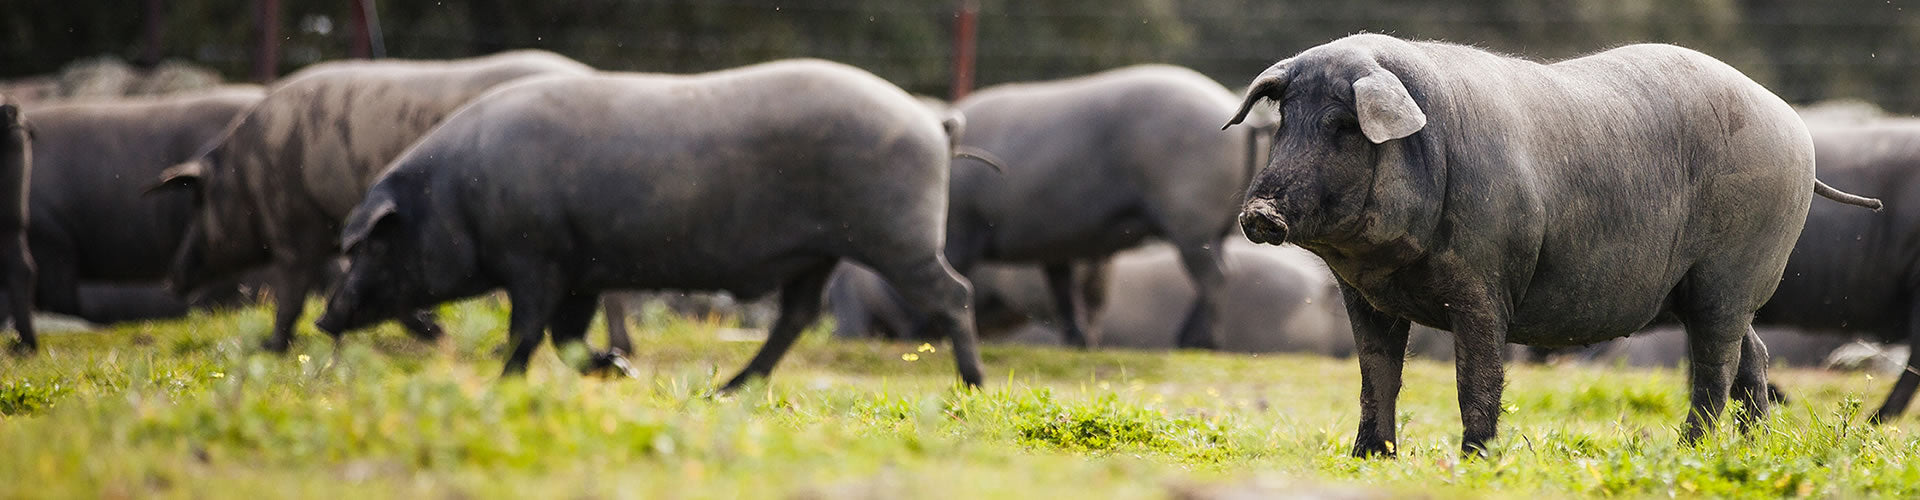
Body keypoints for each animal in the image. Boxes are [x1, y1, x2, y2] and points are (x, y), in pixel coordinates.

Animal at [151, 49, 591, 351]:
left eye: (198, 201)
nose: (171, 280)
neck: (244, 174)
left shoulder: (293, 225)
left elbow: (292, 291)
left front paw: (270, 347)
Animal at [311, 60, 990, 390]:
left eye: (371, 247)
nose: (324, 318)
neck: (455, 196)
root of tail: (935, 122)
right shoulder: (579, 270)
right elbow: (565, 336)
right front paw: (619, 367)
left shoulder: (535, 256)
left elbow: (526, 329)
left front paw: (504, 383)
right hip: (820, 253)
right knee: (795, 317)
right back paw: (729, 390)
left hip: (897, 236)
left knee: (955, 294)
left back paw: (973, 386)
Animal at [940, 64, 1259, 350]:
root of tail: (1244, 120)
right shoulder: (1056, 246)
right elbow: (1063, 291)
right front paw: (1079, 342)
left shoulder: (959, 228)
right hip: (1215, 228)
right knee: (1221, 271)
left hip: (1190, 222)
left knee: (1213, 275)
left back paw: (1196, 342)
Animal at [1221, 33, 1881, 457]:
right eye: (1286, 122)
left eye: (1341, 126)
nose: (1258, 213)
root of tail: (1794, 126)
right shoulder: (1365, 296)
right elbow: (1375, 375)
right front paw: (1369, 459)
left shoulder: (1484, 281)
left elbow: (1478, 377)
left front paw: (1476, 460)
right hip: (1722, 289)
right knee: (1755, 355)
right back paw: (1752, 449)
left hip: (1733, 270)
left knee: (1715, 366)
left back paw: (1687, 452)